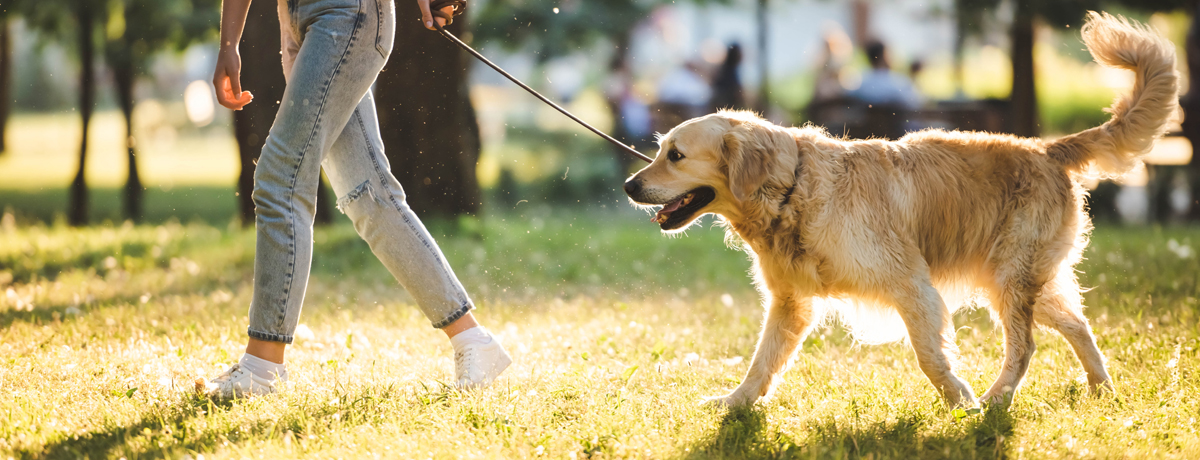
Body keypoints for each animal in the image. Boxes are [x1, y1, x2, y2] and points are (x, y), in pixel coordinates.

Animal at [624, 11, 1176, 408]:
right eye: (659, 149)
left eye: (675, 155)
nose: (629, 185)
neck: (792, 191)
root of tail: (1047, 148)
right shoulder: (790, 303)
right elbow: (762, 363)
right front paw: (734, 404)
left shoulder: (911, 284)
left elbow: (930, 356)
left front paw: (962, 401)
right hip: (1020, 279)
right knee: (1078, 327)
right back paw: (1102, 391)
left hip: (1011, 276)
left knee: (1024, 348)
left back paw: (998, 399)